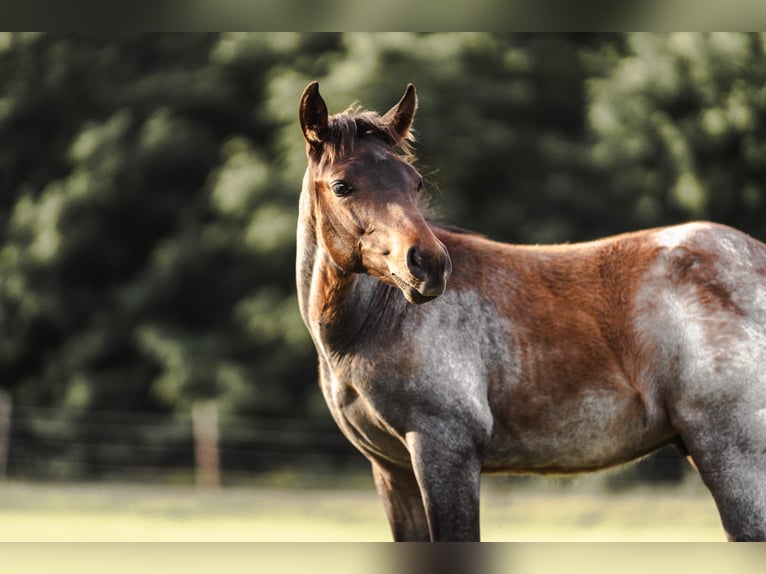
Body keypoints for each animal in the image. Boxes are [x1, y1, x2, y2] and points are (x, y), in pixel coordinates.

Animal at [296, 82, 766, 544]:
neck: (376, 323)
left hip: (734, 460)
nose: (428, 264)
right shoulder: (393, 470)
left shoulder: (444, 449)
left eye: (414, 183)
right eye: (341, 186)